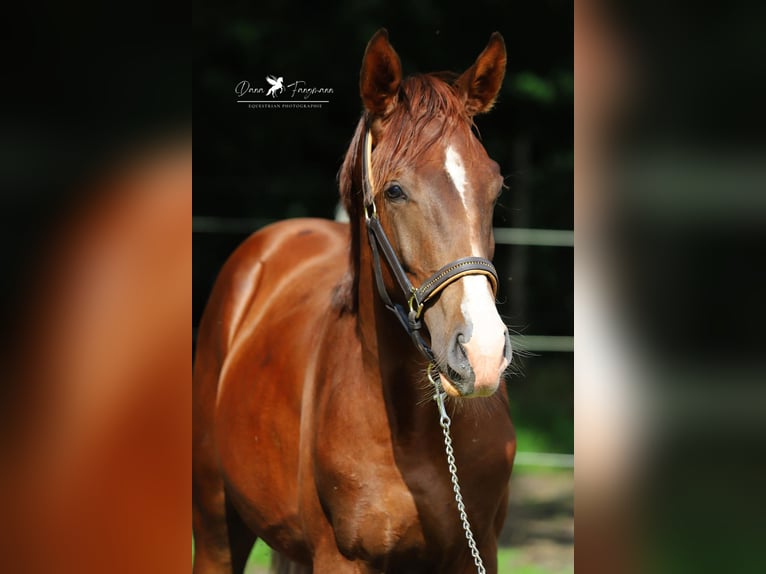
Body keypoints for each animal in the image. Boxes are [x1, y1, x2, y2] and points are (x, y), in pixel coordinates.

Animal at [192, 30, 520, 574]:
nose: (483, 353)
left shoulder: (479, 551)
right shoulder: (340, 558)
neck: (416, 434)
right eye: (395, 191)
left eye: (495, 187)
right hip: (218, 530)